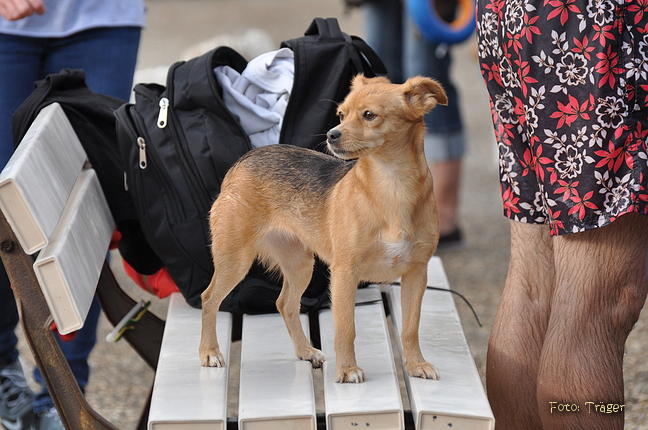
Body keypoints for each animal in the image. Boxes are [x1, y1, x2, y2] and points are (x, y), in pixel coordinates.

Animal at [200, 74, 448, 382]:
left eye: (369, 115)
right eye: (341, 114)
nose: (331, 134)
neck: (391, 186)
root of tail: (244, 160)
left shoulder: (416, 274)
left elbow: (411, 328)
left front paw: (415, 364)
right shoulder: (344, 274)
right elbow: (345, 329)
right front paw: (347, 370)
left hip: (299, 265)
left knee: (285, 304)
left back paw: (305, 351)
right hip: (236, 260)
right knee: (209, 299)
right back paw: (209, 352)